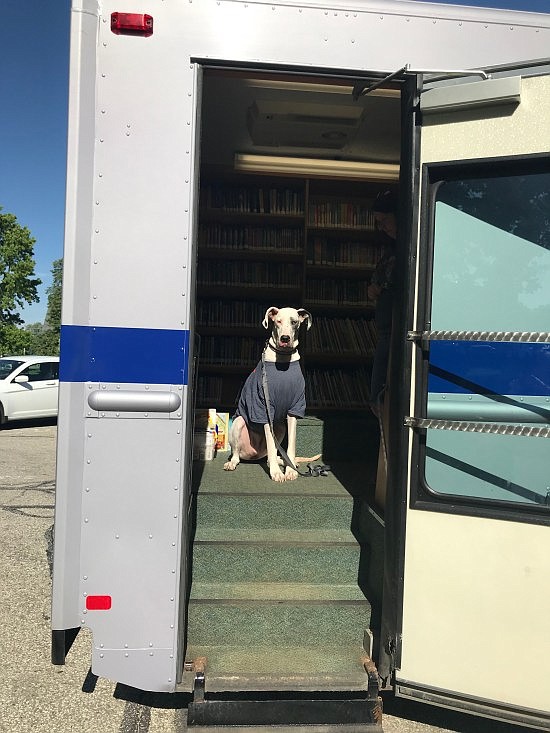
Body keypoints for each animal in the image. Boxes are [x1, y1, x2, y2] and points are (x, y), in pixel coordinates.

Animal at [225, 306, 320, 484]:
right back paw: (232, 463)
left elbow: (291, 444)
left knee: (272, 456)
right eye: (278, 322)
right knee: (237, 454)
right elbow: (270, 444)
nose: (285, 338)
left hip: (280, 427)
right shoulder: (264, 408)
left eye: (294, 322)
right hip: (239, 423)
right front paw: (276, 473)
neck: (282, 359)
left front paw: (290, 471)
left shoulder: (294, 409)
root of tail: (254, 454)